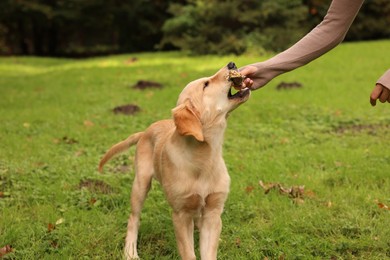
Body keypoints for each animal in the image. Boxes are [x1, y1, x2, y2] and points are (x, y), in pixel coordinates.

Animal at [97, 62, 250, 258]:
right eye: (206, 84)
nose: (231, 64)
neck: (205, 156)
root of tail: (145, 132)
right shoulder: (181, 213)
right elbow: (189, 253)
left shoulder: (213, 210)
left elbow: (208, 251)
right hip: (140, 183)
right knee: (133, 218)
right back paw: (130, 251)